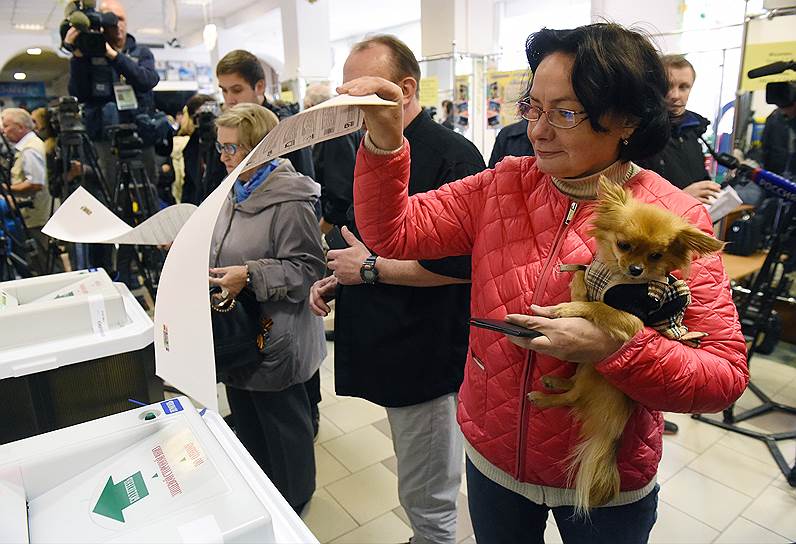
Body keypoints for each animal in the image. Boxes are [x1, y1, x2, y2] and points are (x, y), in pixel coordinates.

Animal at [532, 177, 724, 516]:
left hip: (596, 372)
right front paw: (576, 284)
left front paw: (566, 309)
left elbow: (597, 307)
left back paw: (543, 397)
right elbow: (582, 282)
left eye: (656, 256)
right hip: (586, 367)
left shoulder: (632, 321)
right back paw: (555, 380)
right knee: (573, 388)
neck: (614, 276)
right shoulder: (593, 278)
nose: (636, 270)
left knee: (573, 397)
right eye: (624, 245)